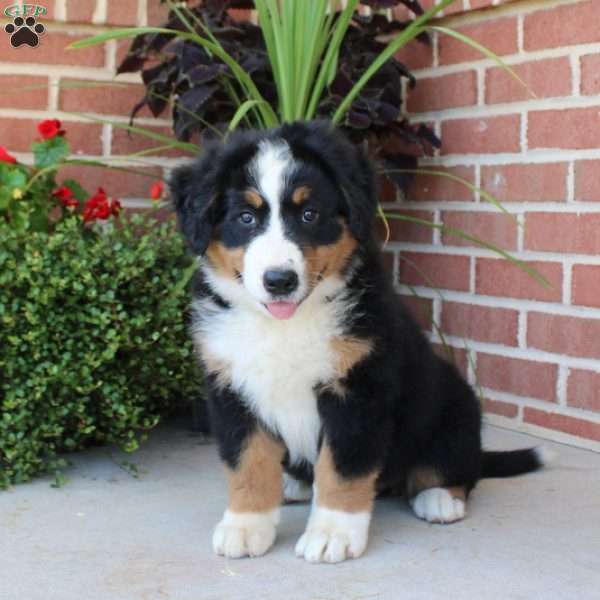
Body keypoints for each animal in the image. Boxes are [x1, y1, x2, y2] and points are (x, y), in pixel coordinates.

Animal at [170, 120, 548, 564]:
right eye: (245, 218)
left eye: (310, 214)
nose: (279, 281)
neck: (284, 326)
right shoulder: (232, 390)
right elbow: (248, 463)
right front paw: (246, 526)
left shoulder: (359, 390)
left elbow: (342, 469)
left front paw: (332, 532)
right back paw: (293, 484)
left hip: (456, 408)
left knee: (458, 467)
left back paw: (439, 498)